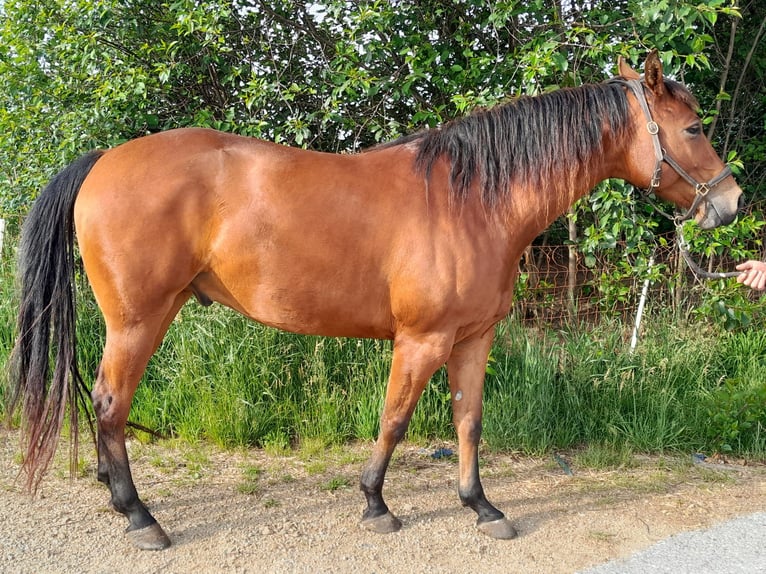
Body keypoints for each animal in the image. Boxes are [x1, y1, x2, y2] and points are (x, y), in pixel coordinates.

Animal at [8, 51, 742, 550]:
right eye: (695, 128)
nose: (732, 203)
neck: (473, 200)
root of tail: (103, 162)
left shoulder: (473, 339)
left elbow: (468, 421)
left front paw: (482, 507)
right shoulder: (421, 339)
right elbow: (394, 419)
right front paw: (375, 504)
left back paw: (119, 502)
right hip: (139, 320)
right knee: (110, 404)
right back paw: (140, 517)